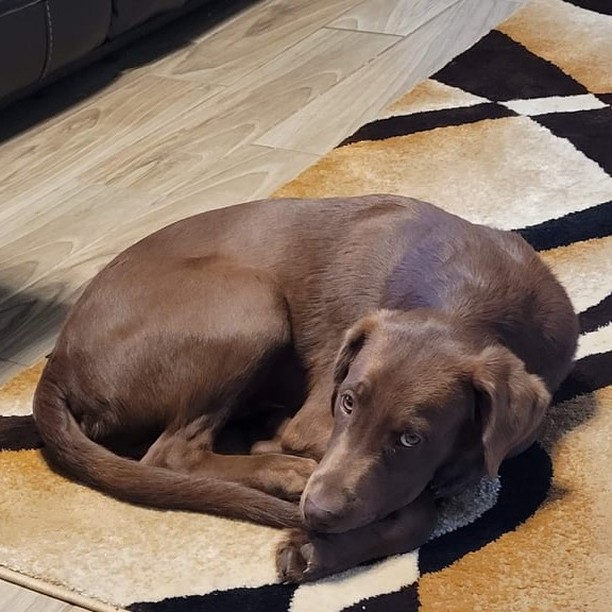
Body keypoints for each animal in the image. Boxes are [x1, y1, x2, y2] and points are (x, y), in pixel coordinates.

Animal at [32, 194, 580, 580]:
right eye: (347, 402)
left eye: (411, 438)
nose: (315, 512)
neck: (470, 299)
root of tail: (57, 362)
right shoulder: (318, 424)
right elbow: (414, 510)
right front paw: (312, 544)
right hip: (251, 304)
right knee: (172, 453)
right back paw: (283, 470)